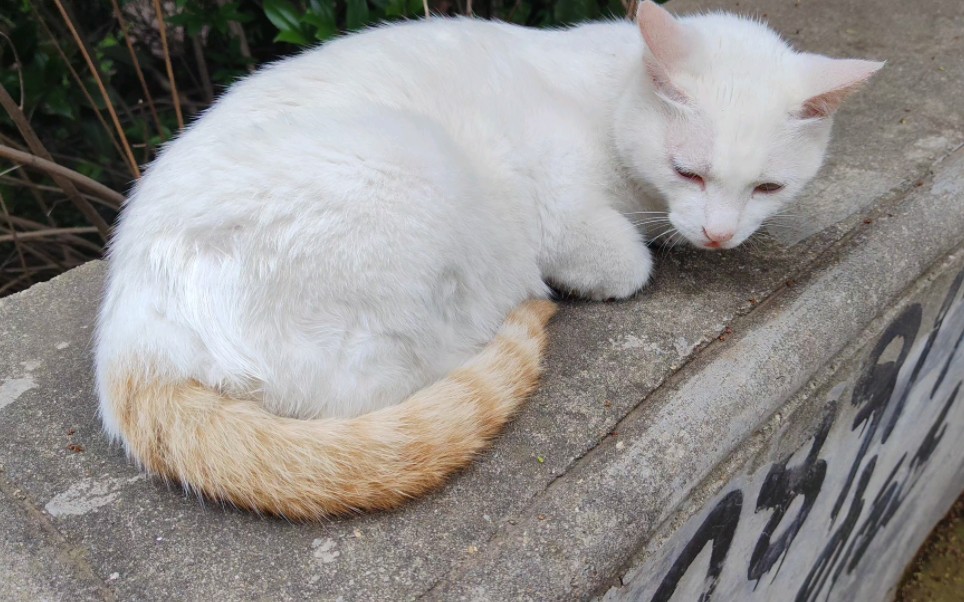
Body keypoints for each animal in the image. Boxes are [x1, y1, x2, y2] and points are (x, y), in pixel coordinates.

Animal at [96, 1, 880, 516]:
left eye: (768, 188)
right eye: (688, 170)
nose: (719, 234)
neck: (607, 95)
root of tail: (131, 339)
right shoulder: (565, 214)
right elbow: (626, 262)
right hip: (413, 169)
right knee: (389, 378)